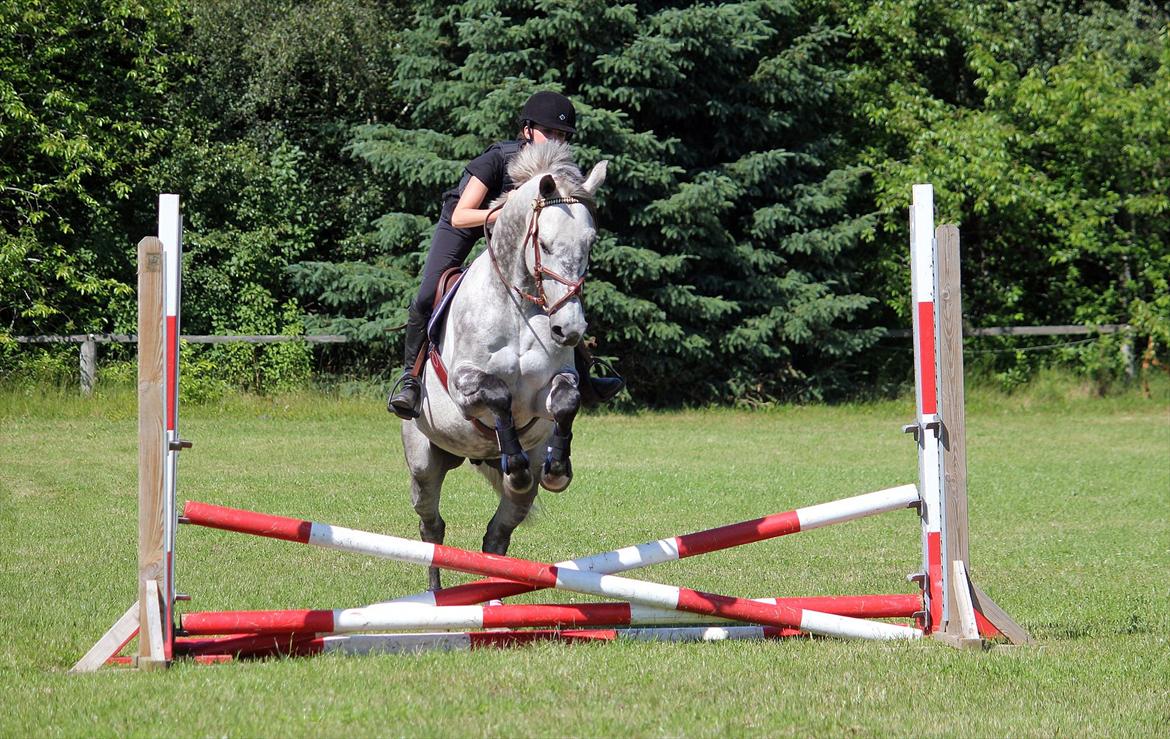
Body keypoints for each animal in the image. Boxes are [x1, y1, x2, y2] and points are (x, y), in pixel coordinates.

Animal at [402, 144, 608, 591]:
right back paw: (434, 595)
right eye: (544, 243)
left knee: (497, 534)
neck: (519, 308)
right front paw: (513, 464)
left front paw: (557, 470)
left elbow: (566, 401)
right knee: (431, 527)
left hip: (511, 494)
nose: (570, 328)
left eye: (591, 242)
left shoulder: (549, 388)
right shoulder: (465, 386)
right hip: (424, 461)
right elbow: (497, 393)